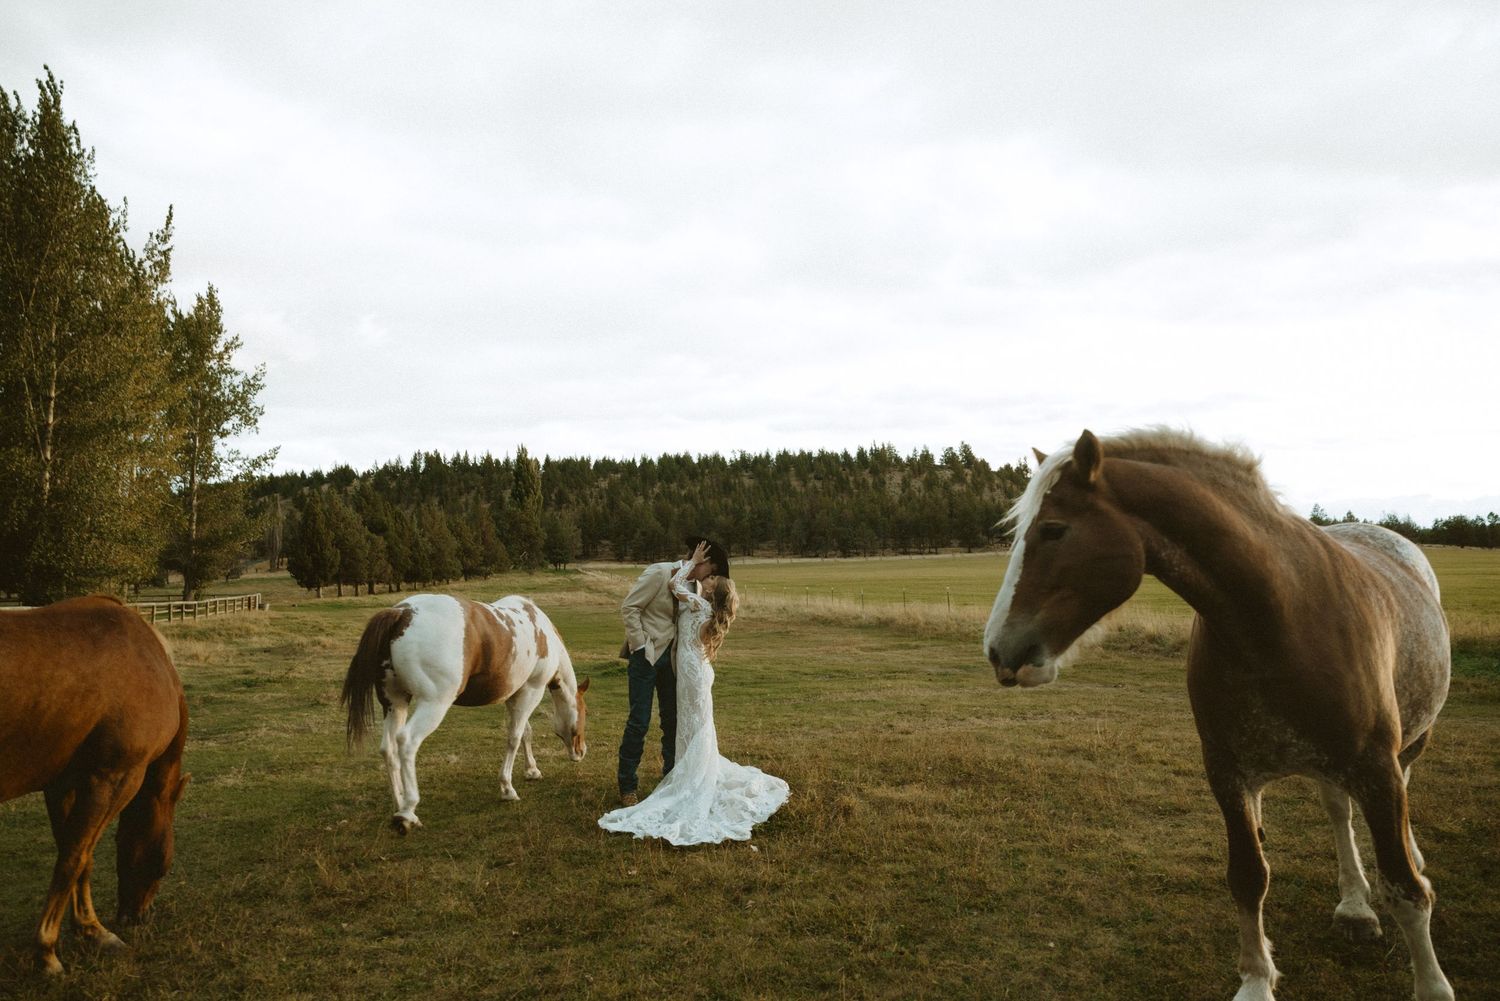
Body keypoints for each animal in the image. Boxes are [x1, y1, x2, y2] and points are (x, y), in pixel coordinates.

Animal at [0, 595, 190, 975]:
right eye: (163, 864)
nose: (136, 917)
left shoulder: (64, 784)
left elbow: (78, 856)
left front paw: (92, 931)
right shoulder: (113, 778)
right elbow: (73, 857)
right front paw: (47, 951)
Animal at [341, 593, 590, 834]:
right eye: (584, 713)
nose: (581, 751)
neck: (542, 631)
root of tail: (402, 613)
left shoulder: (514, 696)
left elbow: (525, 733)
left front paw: (532, 770)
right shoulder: (531, 691)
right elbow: (514, 738)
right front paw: (507, 788)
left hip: (395, 703)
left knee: (389, 748)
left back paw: (399, 803)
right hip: (433, 704)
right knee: (407, 741)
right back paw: (408, 812)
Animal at [982, 428, 1453, 1001]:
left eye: (1053, 530)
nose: (998, 650)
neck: (1279, 620)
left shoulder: (1377, 771)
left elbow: (1407, 890)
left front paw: (1433, 984)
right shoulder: (1229, 773)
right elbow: (1248, 877)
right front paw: (1256, 980)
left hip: (1408, 746)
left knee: (1400, 802)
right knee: (1338, 812)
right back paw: (1354, 904)